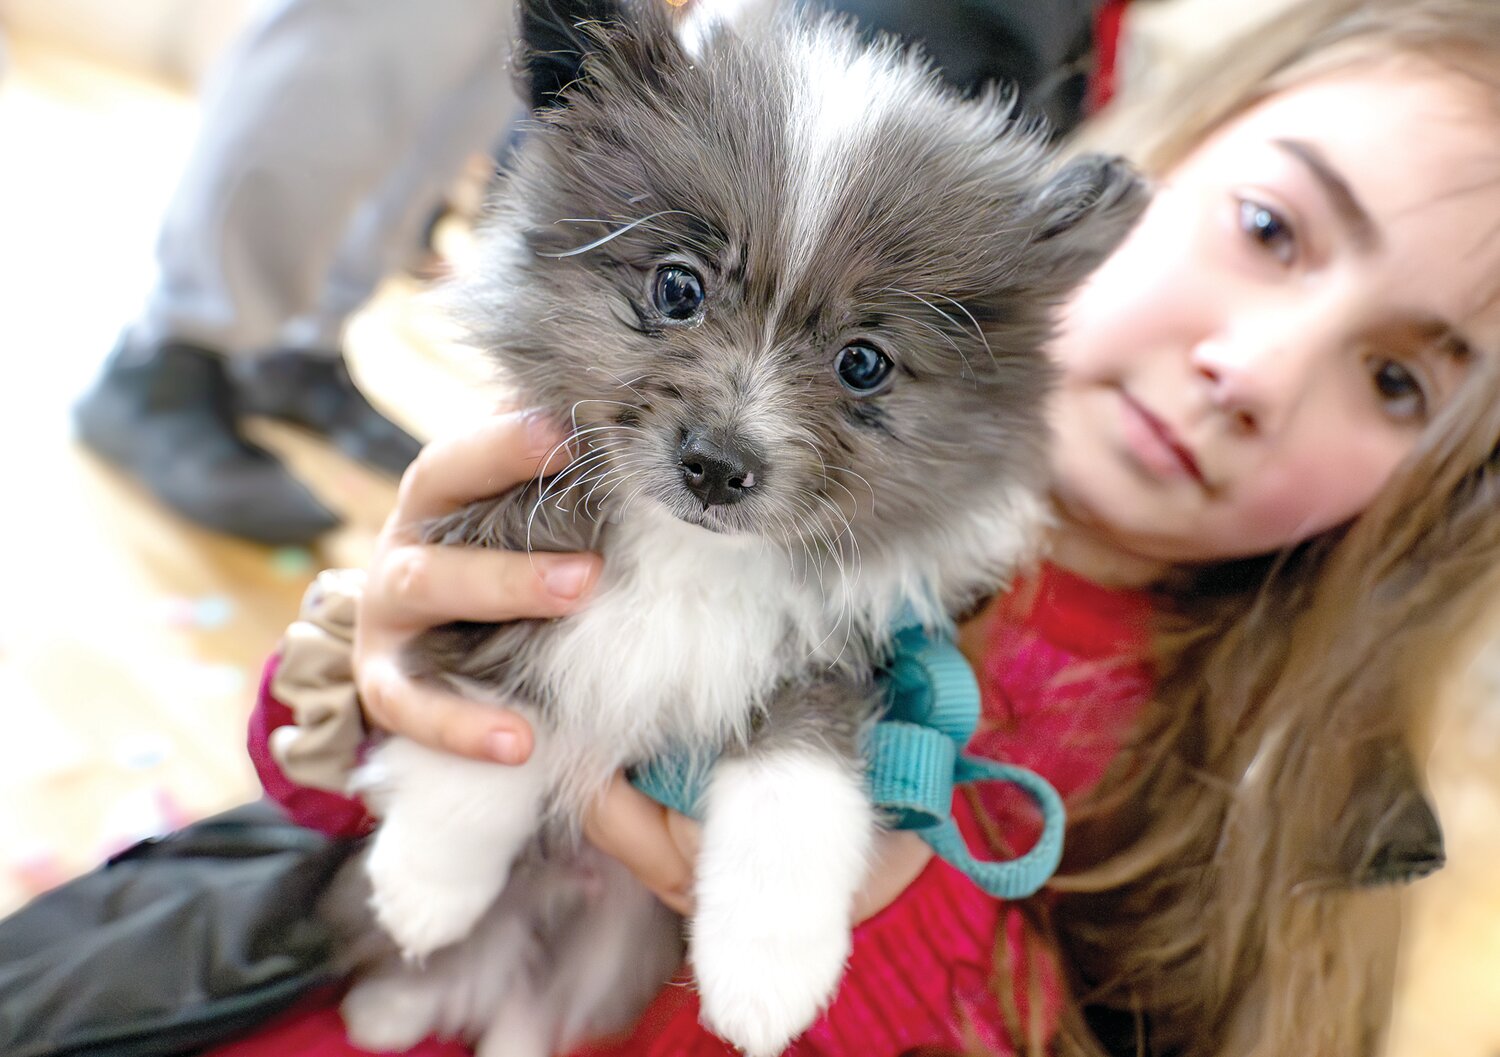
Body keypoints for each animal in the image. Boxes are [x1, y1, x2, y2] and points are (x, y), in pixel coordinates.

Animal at [334, 2, 1140, 1055]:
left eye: (864, 362)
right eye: (678, 288)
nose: (717, 465)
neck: (696, 559)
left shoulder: (853, 655)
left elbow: (797, 786)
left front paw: (766, 970)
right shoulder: (512, 551)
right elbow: (489, 724)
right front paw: (426, 878)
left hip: (607, 958)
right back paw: (388, 1002)